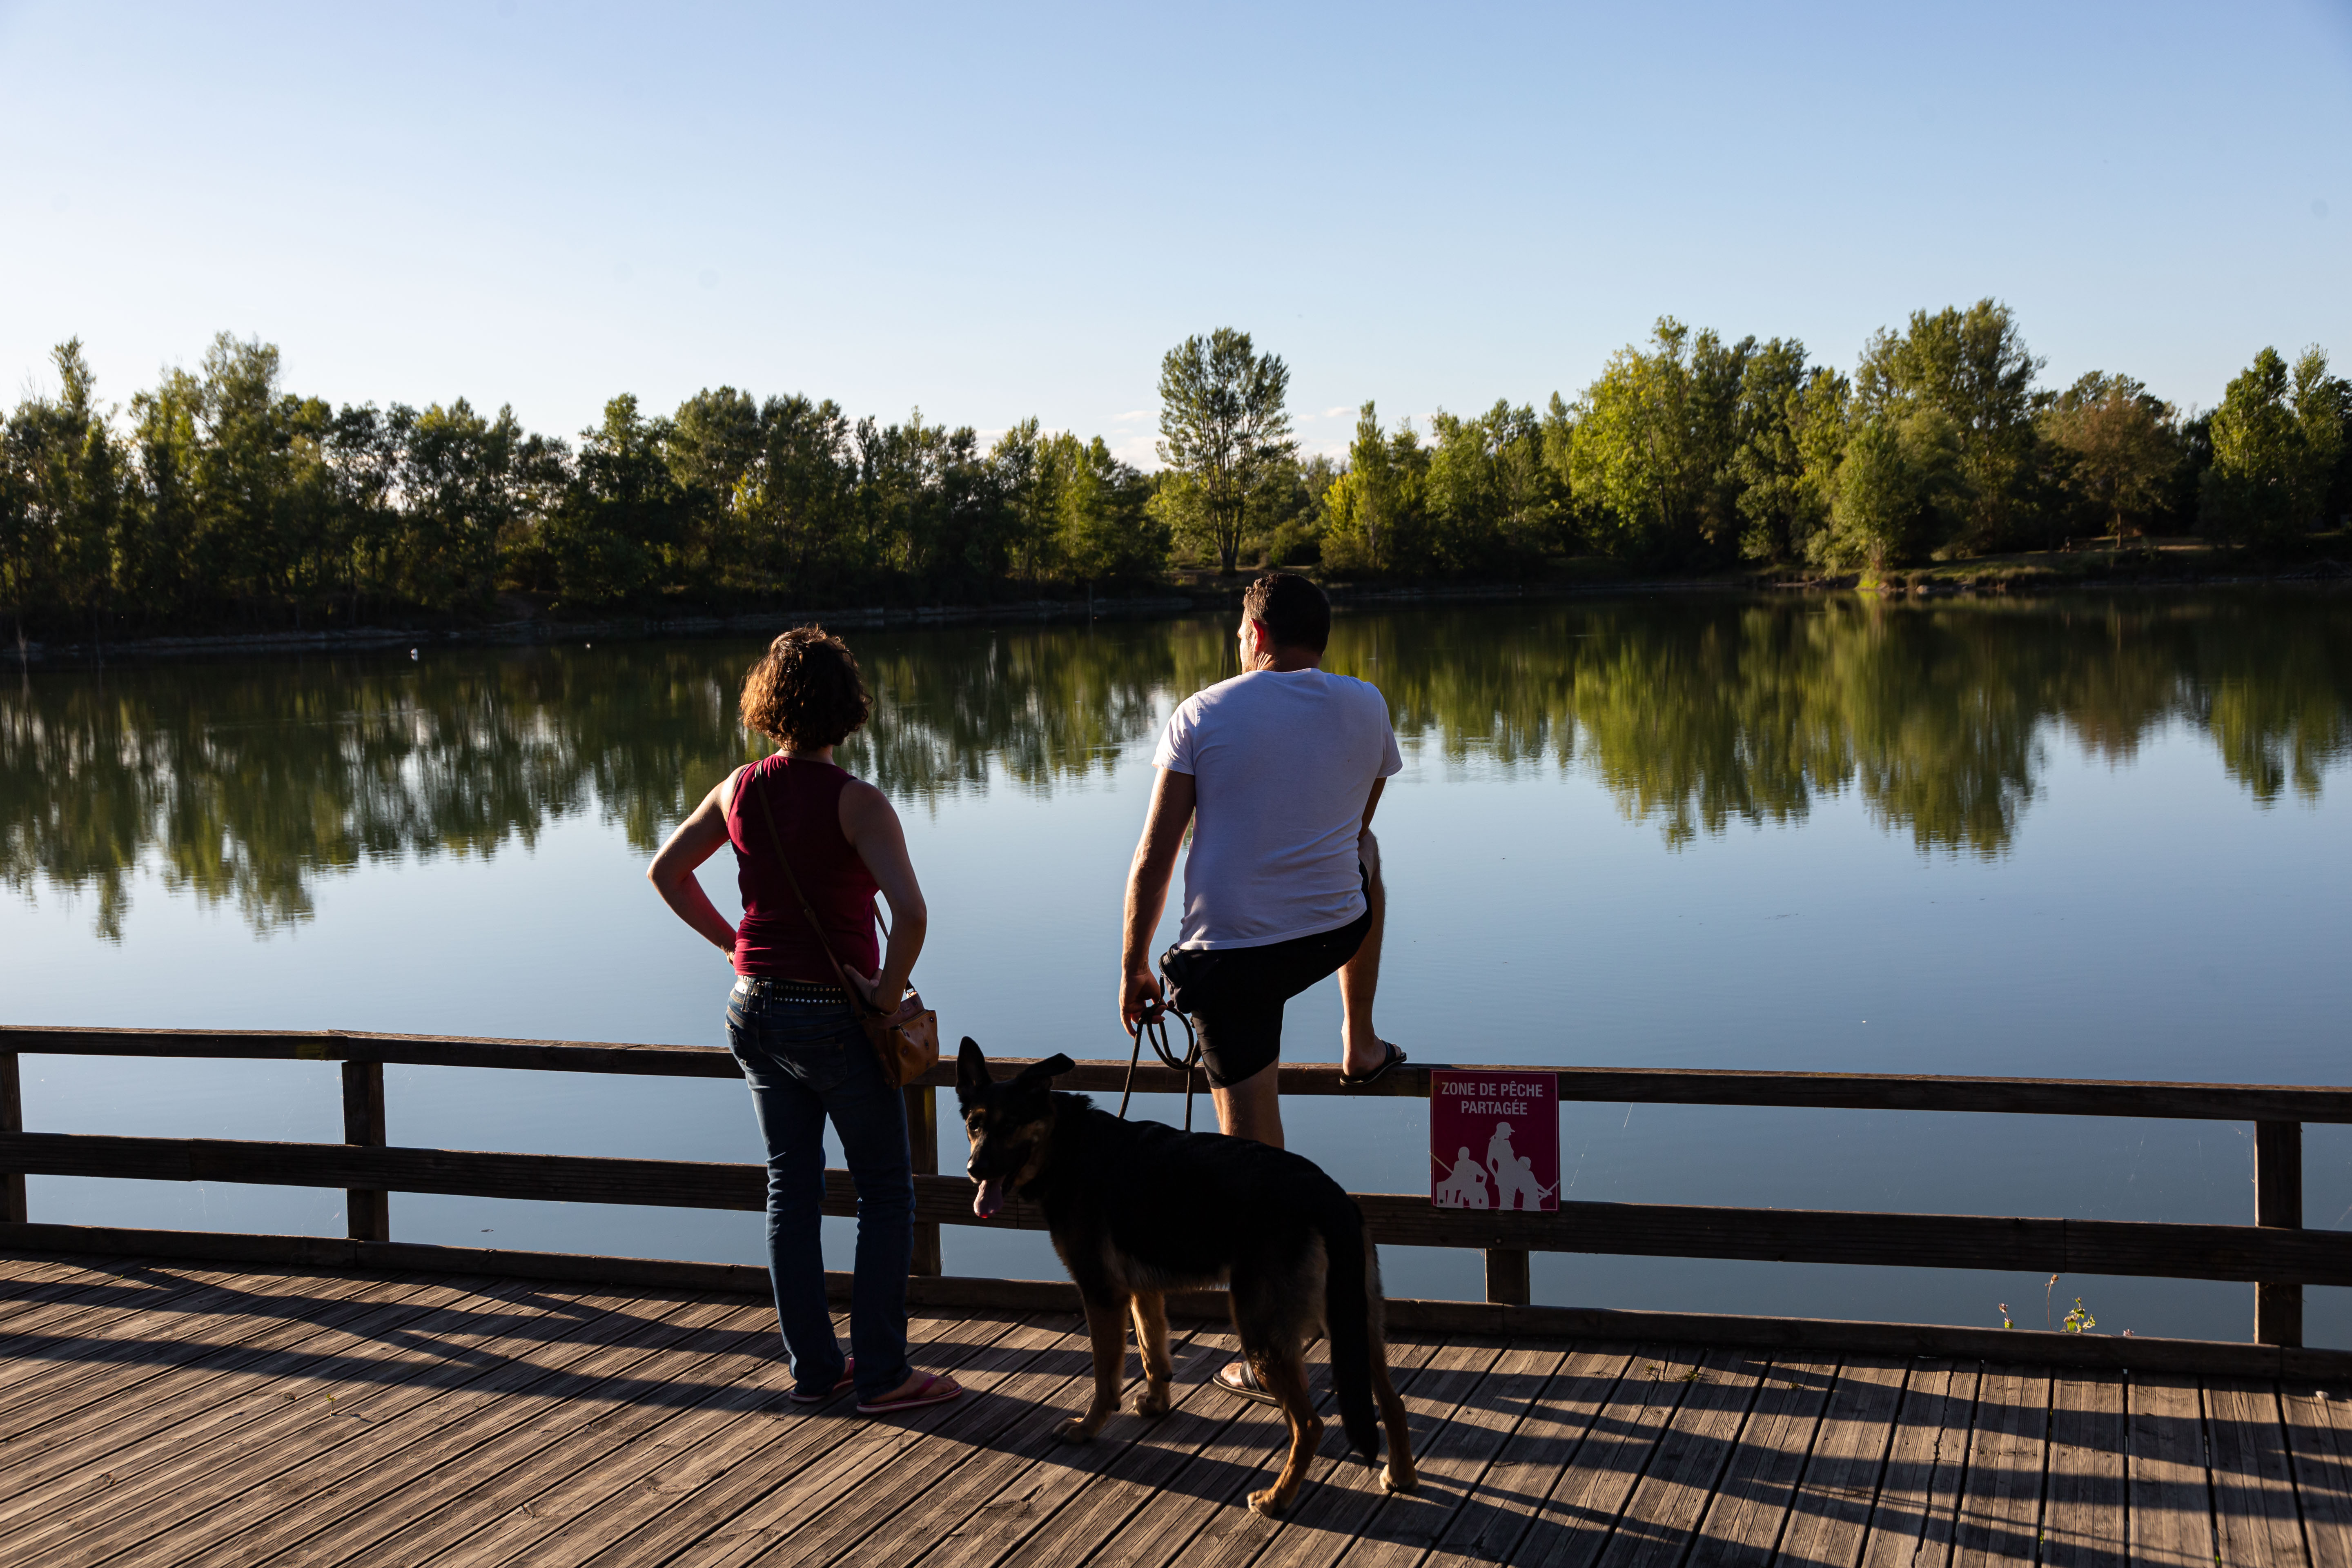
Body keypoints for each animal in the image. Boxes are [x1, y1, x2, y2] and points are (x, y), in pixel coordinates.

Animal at [955, 1037, 1417, 1516]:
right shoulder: (1143, 1293)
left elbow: (1105, 1375)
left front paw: (1087, 1428)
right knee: (1393, 1402)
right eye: (974, 1125)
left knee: (1309, 1425)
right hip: (1357, 1324)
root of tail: (1329, 1195)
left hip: (1262, 1330)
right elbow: (1152, 1352)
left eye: (1010, 1125)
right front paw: (1157, 1404)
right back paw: (1401, 1476)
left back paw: (1276, 1498)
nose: (974, 1170)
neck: (1066, 1144)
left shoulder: (1102, 1294)